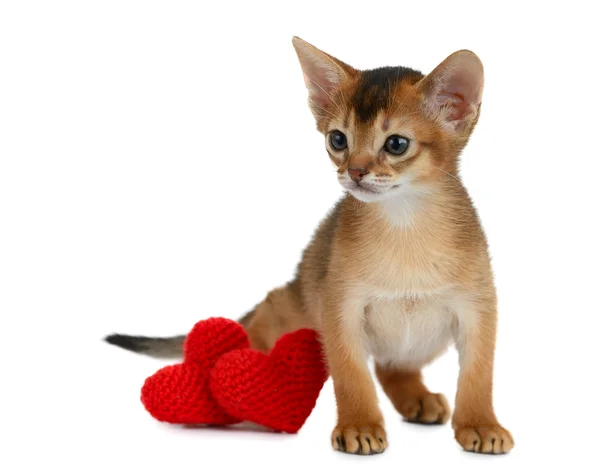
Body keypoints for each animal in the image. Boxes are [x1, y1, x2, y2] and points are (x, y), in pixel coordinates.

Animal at [105, 37, 512, 458]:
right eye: (338, 139)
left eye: (397, 144)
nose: (355, 172)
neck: (404, 225)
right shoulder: (340, 308)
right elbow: (352, 375)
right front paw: (359, 425)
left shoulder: (478, 309)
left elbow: (478, 375)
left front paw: (481, 425)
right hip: (290, 310)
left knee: (389, 365)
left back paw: (418, 399)